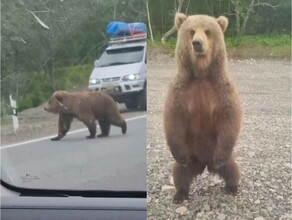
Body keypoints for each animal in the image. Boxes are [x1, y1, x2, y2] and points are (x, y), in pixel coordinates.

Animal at [163, 12, 243, 204]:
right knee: (180, 172)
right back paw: (180, 194)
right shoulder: (181, 90)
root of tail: (204, 165)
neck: (201, 74)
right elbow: (173, 119)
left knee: (231, 168)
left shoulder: (222, 89)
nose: (197, 43)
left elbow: (230, 117)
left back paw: (232, 186)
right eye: (192, 31)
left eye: (207, 31)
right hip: (190, 153)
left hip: (218, 151)